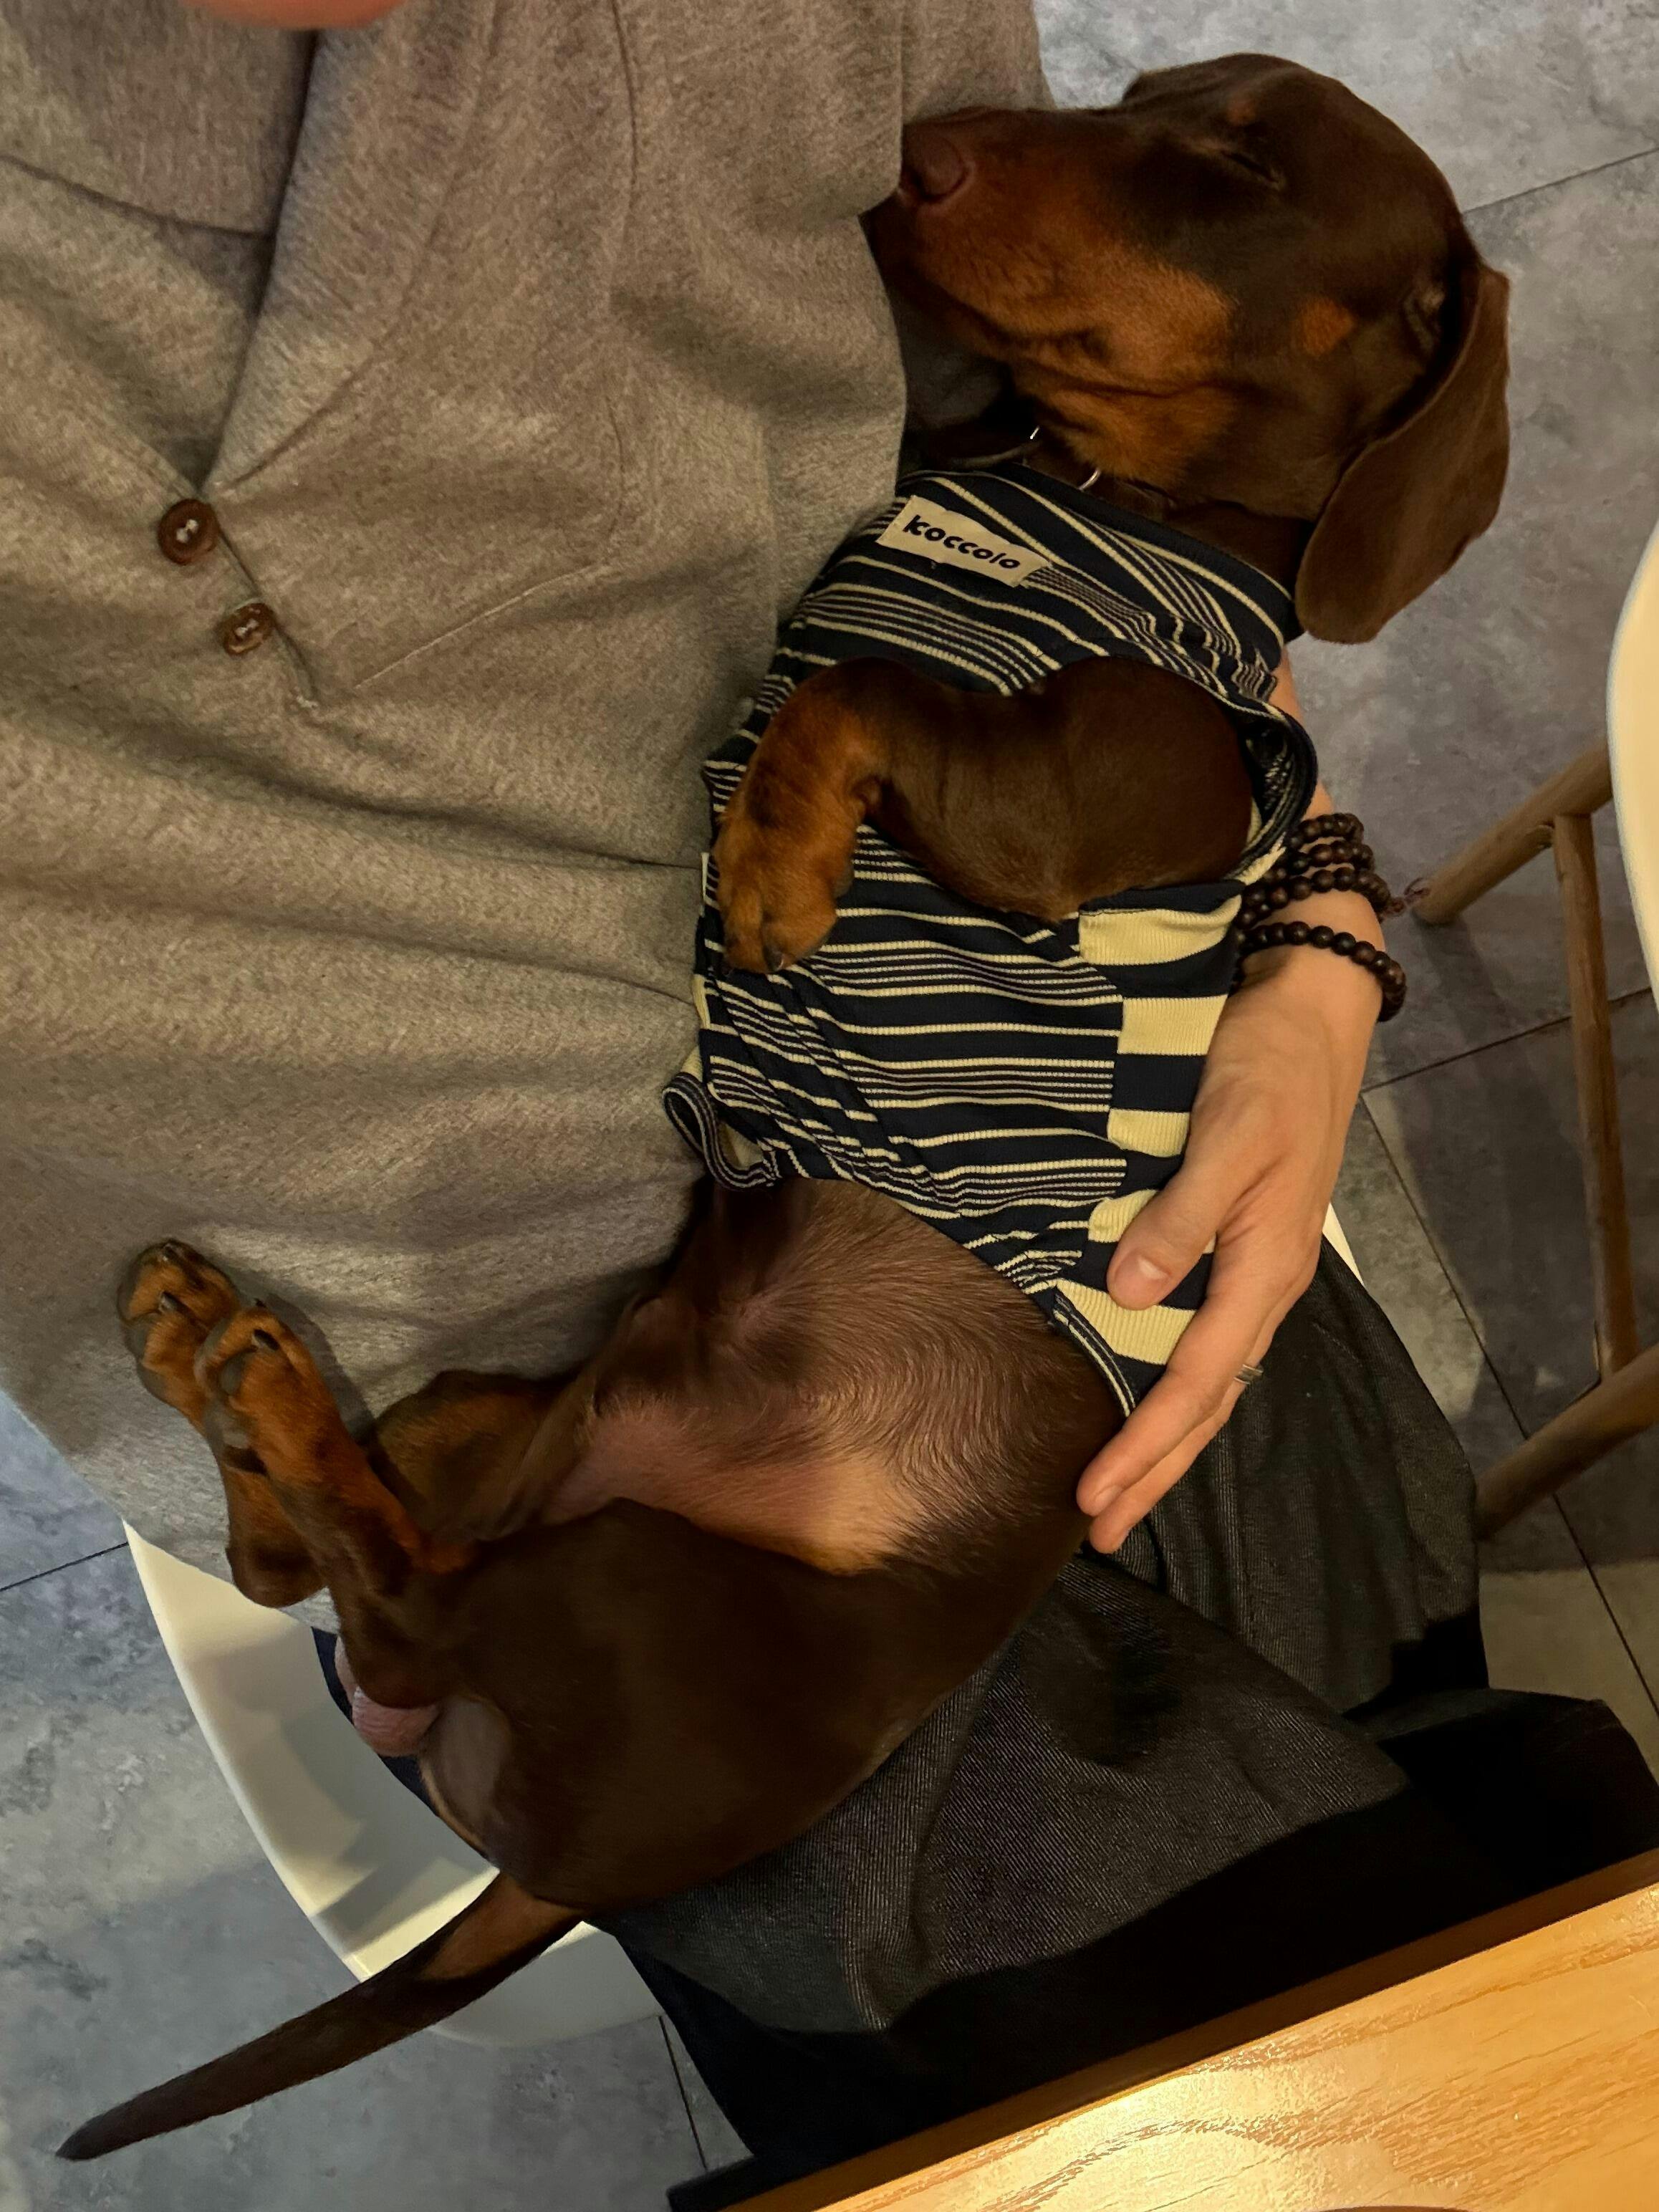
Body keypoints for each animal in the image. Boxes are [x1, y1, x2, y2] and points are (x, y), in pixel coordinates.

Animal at [63, 53, 1508, 2161]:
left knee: (393, 1614)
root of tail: (569, 1872)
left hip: (662, 1607)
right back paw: (211, 1347)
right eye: (1132, 92)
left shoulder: (1086, 796)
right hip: (497, 1429)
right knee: (301, 1565)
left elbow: (859, 687)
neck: (1093, 505)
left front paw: (765, 863)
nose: (923, 153)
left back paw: (246, 1374)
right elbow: (859, 667)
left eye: (1241, 163)